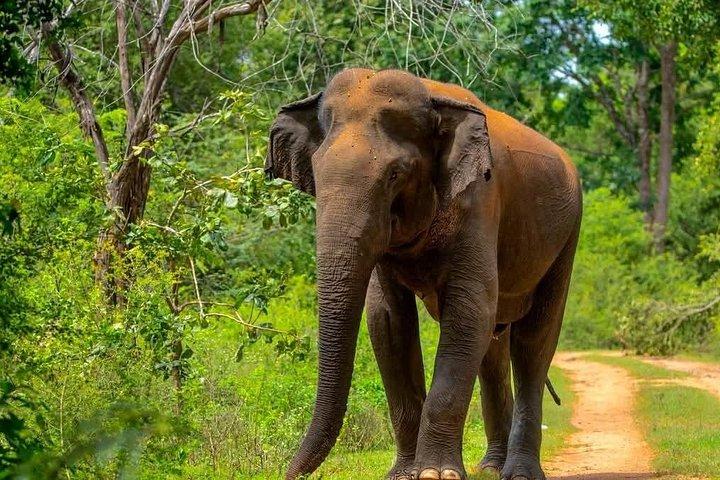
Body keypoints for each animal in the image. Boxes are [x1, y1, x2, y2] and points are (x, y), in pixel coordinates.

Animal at [264, 68, 582, 480]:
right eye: (316, 173)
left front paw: (435, 474)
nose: (286, 473)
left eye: (395, 174)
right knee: (493, 346)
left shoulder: (480, 200)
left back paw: (518, 473)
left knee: (533, 342)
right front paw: (403, 474)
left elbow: (468, 311)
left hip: (567, 237)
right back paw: (490, 468)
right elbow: (388, 321)